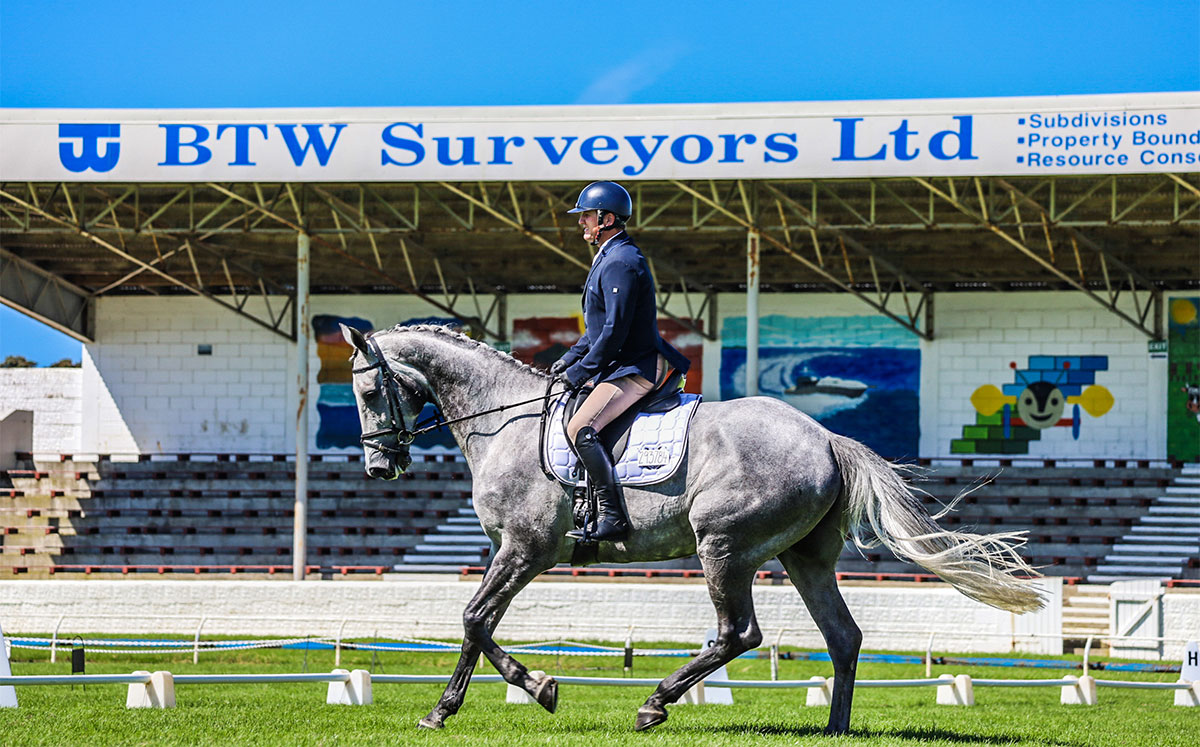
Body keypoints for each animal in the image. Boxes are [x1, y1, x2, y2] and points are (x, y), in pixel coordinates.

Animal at [338, 324, 1041, 739]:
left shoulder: (524, 549)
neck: (502, 421)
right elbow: (479, 624)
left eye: (369, 392)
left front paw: (464, 705)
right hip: (804, 559)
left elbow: (473, 620)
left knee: (739, 634)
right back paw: (834, 729)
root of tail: (824, 437)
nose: (379, 467)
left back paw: (655, 703)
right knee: (843, 637)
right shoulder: (510, 552)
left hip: (722, 547)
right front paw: (524, 690)